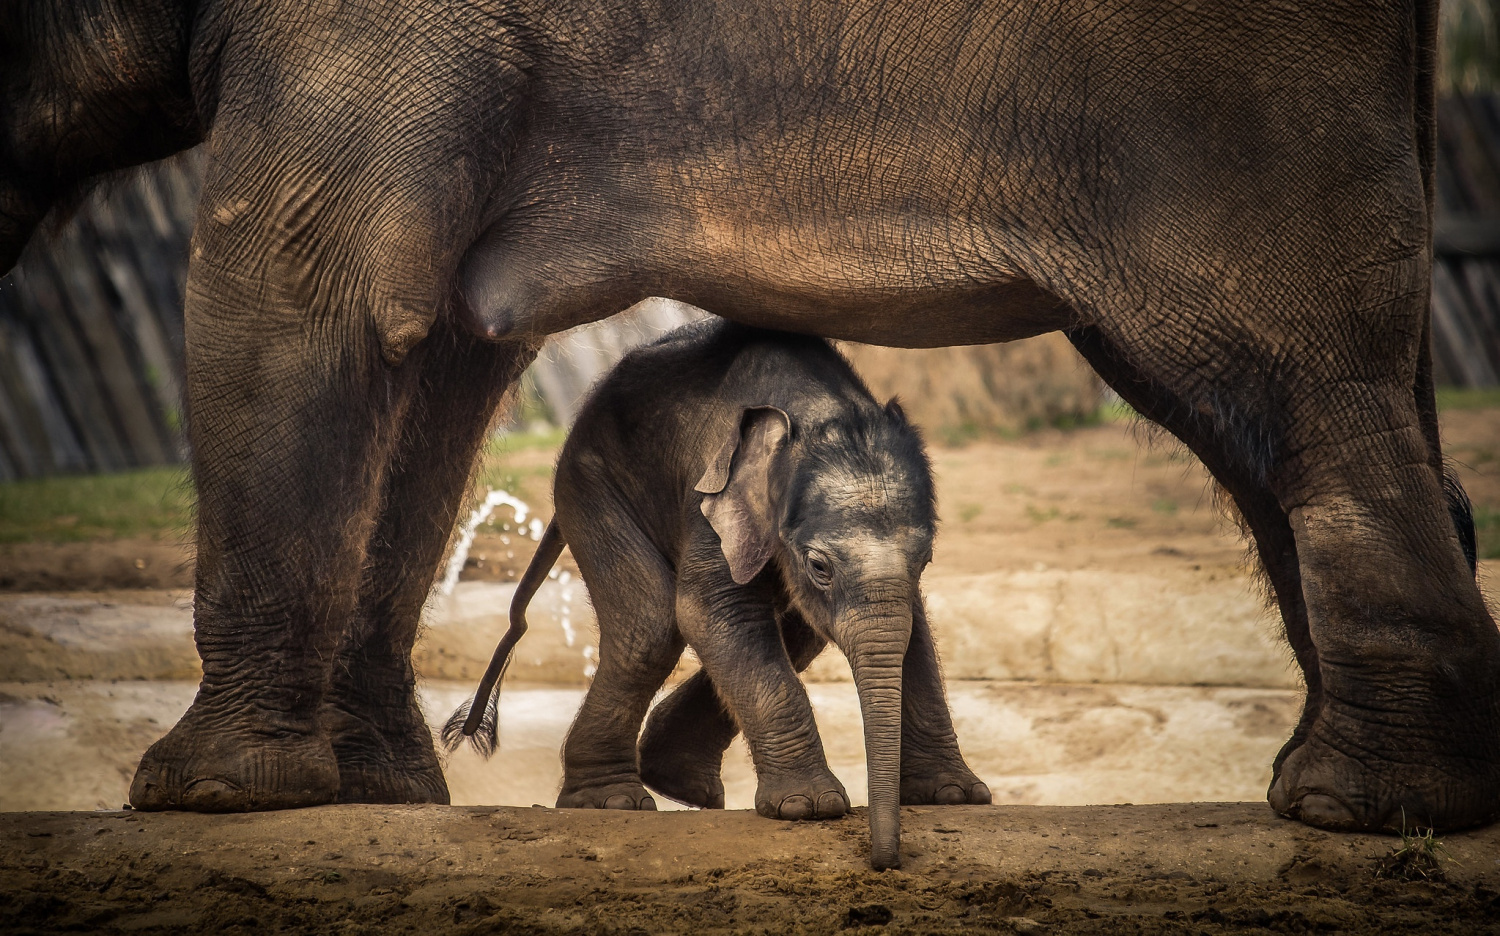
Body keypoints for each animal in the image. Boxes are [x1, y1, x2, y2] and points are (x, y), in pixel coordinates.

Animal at [441, 319, 984, 870]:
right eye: (819, 567)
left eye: (926, 557)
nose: (884, 862)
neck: (814, 408)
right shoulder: (712, 495)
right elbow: (712, 611)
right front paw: (810, 808)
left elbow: (912, 629)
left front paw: (954, 796)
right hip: (588, 482)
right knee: (651, 626)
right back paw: (612, 801)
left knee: (798, 628)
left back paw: (678, 784)